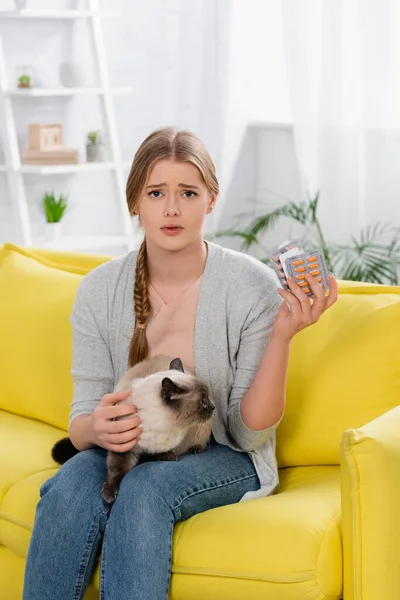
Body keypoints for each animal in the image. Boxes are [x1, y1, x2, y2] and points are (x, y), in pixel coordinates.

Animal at [53, 358, 217, 504]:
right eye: (203, 402)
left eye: (208, 398)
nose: (213, 406)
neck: (158, 423)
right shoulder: (123, 447)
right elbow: (116, 470)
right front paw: (109, 494)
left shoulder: (171, 443)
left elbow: (163, 451)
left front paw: (165, 456)